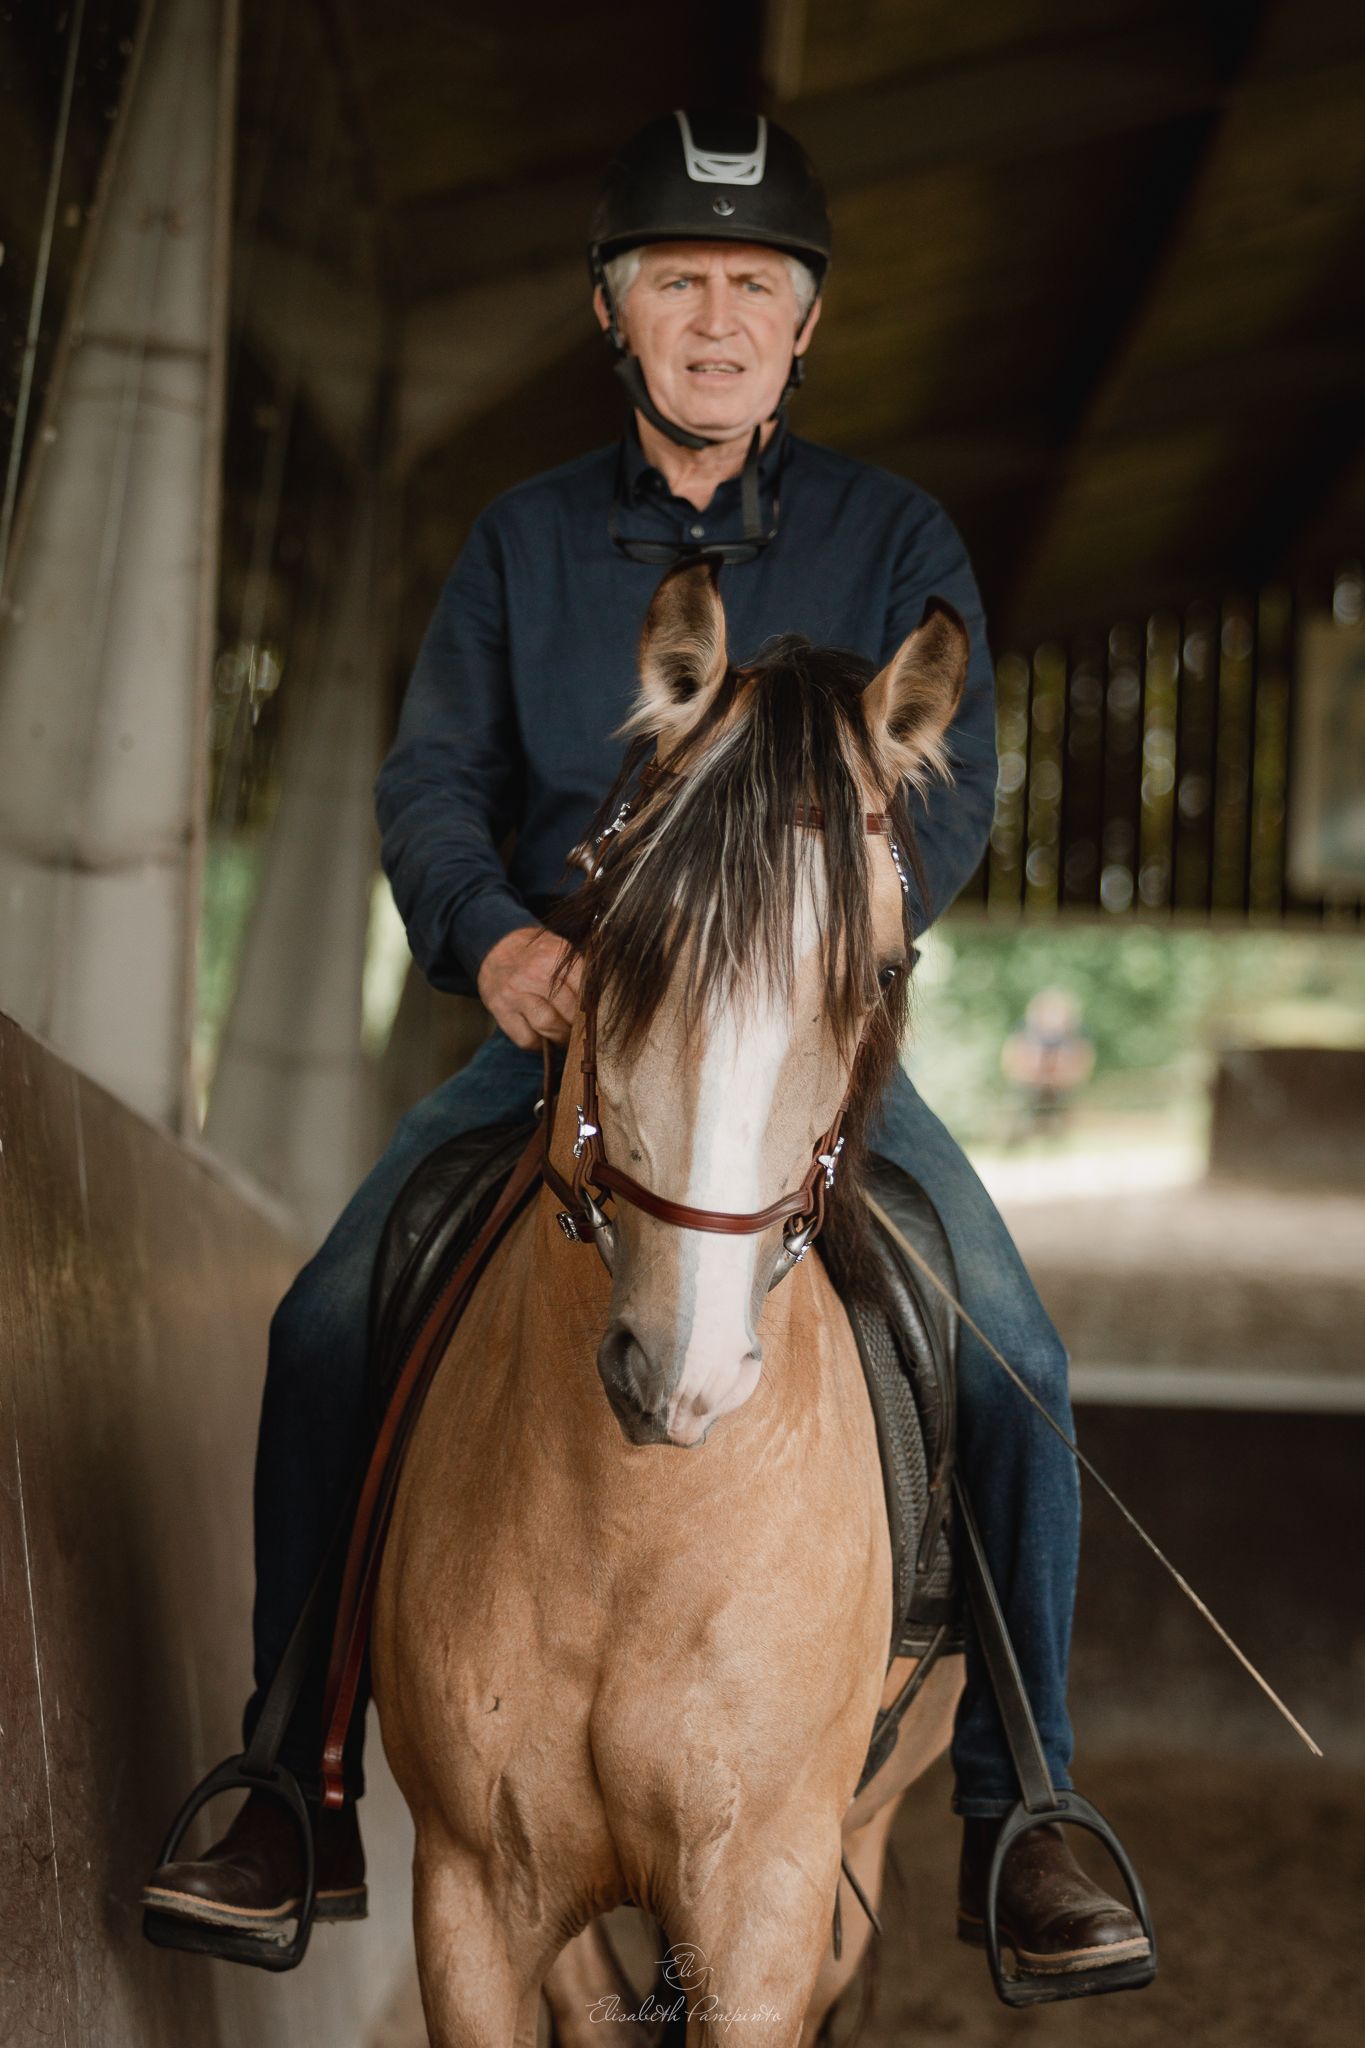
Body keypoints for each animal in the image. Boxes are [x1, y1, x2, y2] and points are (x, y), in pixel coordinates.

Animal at [371, 562, 970, 2047]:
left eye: (882, 975)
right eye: (614, 943)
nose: (681, 1372)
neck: (635, 1527)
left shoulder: (765, 1904)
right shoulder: (474, 1899)